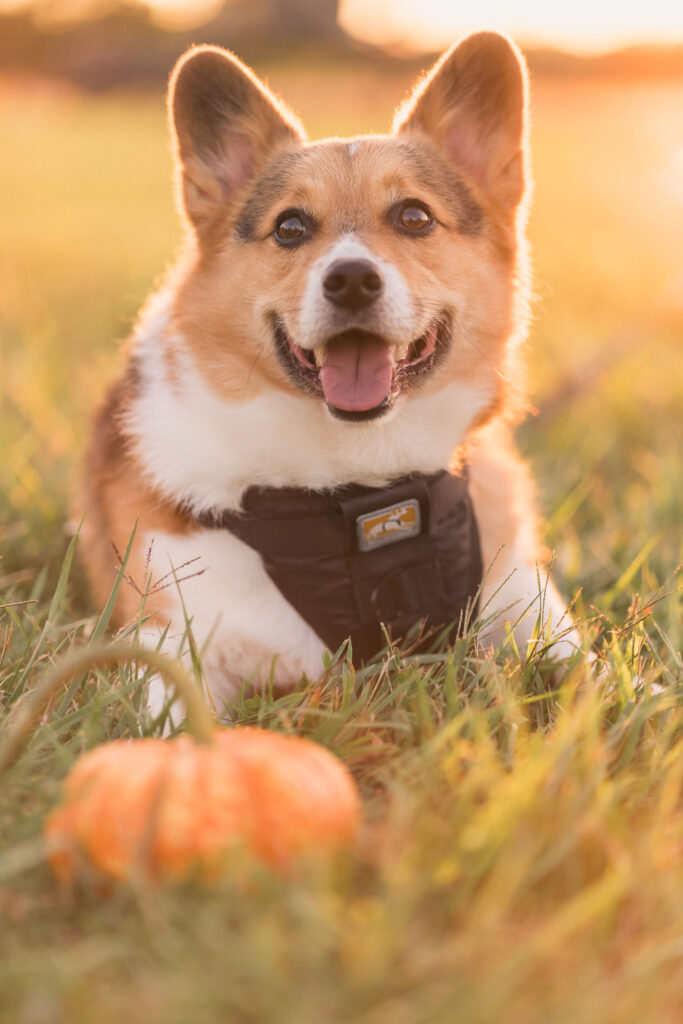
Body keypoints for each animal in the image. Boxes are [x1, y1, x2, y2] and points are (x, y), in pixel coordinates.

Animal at [81, 32, 581, 720]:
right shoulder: (168, 639)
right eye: (290, 227)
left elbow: (597, 677)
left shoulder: (525, 609)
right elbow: (176, 725)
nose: (350, 280)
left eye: (415, 217)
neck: (359, 475)